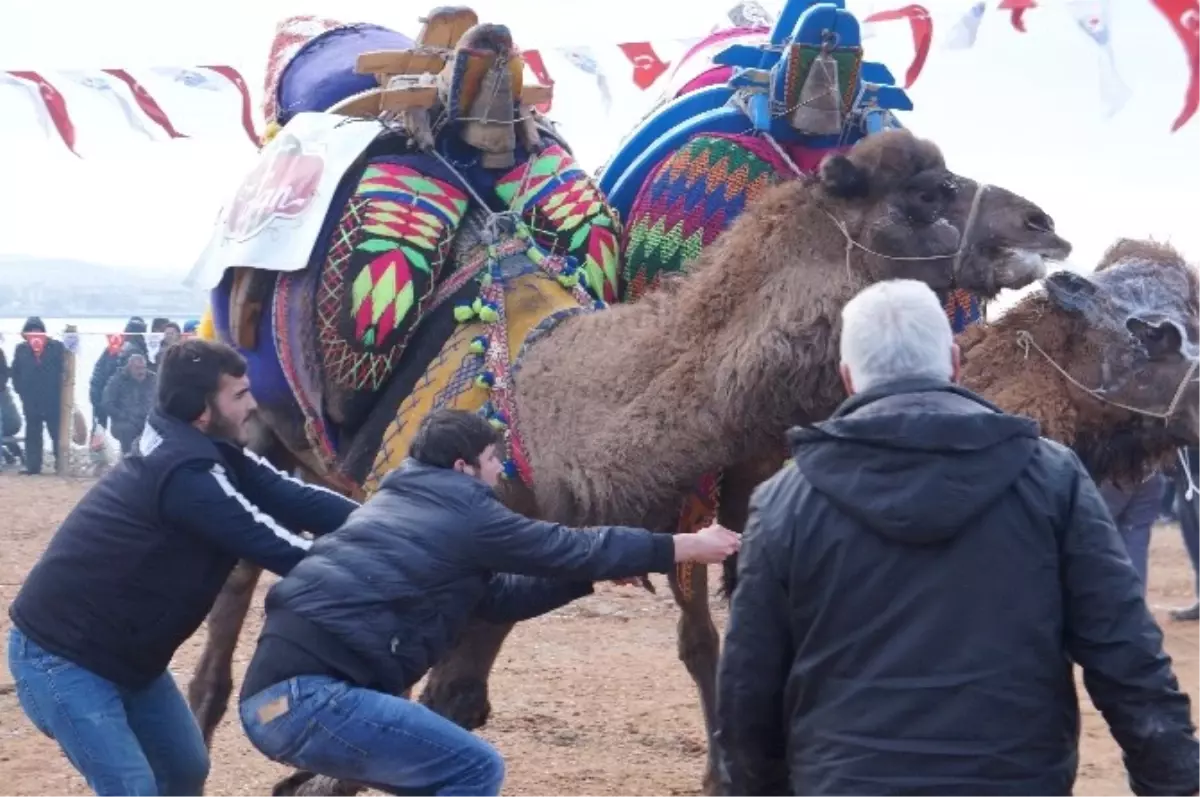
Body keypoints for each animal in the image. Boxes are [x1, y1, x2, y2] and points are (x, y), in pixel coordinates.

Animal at [187, 127, 1070, 792]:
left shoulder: (509, 564)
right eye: (927, 194)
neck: (548, 400)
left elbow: (454, 702)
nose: (1043, 224)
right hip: (257, 420)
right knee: (235, 573)